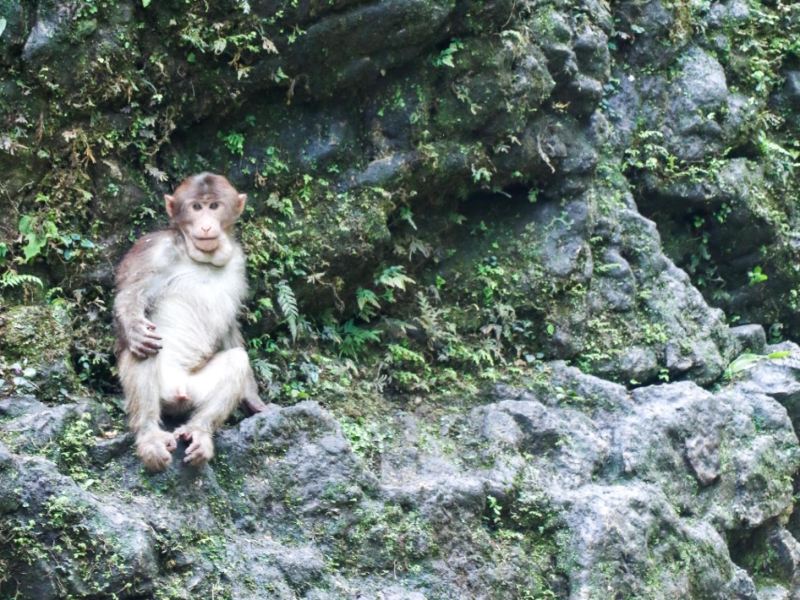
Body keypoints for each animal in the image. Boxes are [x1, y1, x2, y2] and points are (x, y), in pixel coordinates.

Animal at [114, 171, 268, 472]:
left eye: (214, 206)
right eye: (196, 207)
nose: (206, 225)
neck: (201, 257)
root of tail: (179, 391)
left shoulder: (238, 261)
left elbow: (231, 329)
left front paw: (253, 397)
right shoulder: (155, 249)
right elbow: (130, 294)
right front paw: (135, 327)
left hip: (194, 393)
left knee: (237, 359)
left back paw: (199, 431)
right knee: (145, 349)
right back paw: (149, 435)